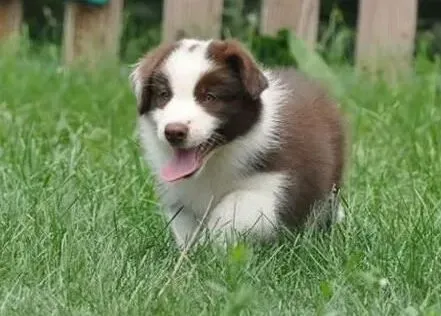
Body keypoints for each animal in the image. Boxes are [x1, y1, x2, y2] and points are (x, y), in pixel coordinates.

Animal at [129, 38, 346, 248]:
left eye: (209, 97)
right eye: (164, 95)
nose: (174, 132)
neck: (216, 160)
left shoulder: (273, 183)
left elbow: (232, 207)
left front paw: (211, 246)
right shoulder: (179, 195)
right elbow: (185, 226)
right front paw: (191, 253)